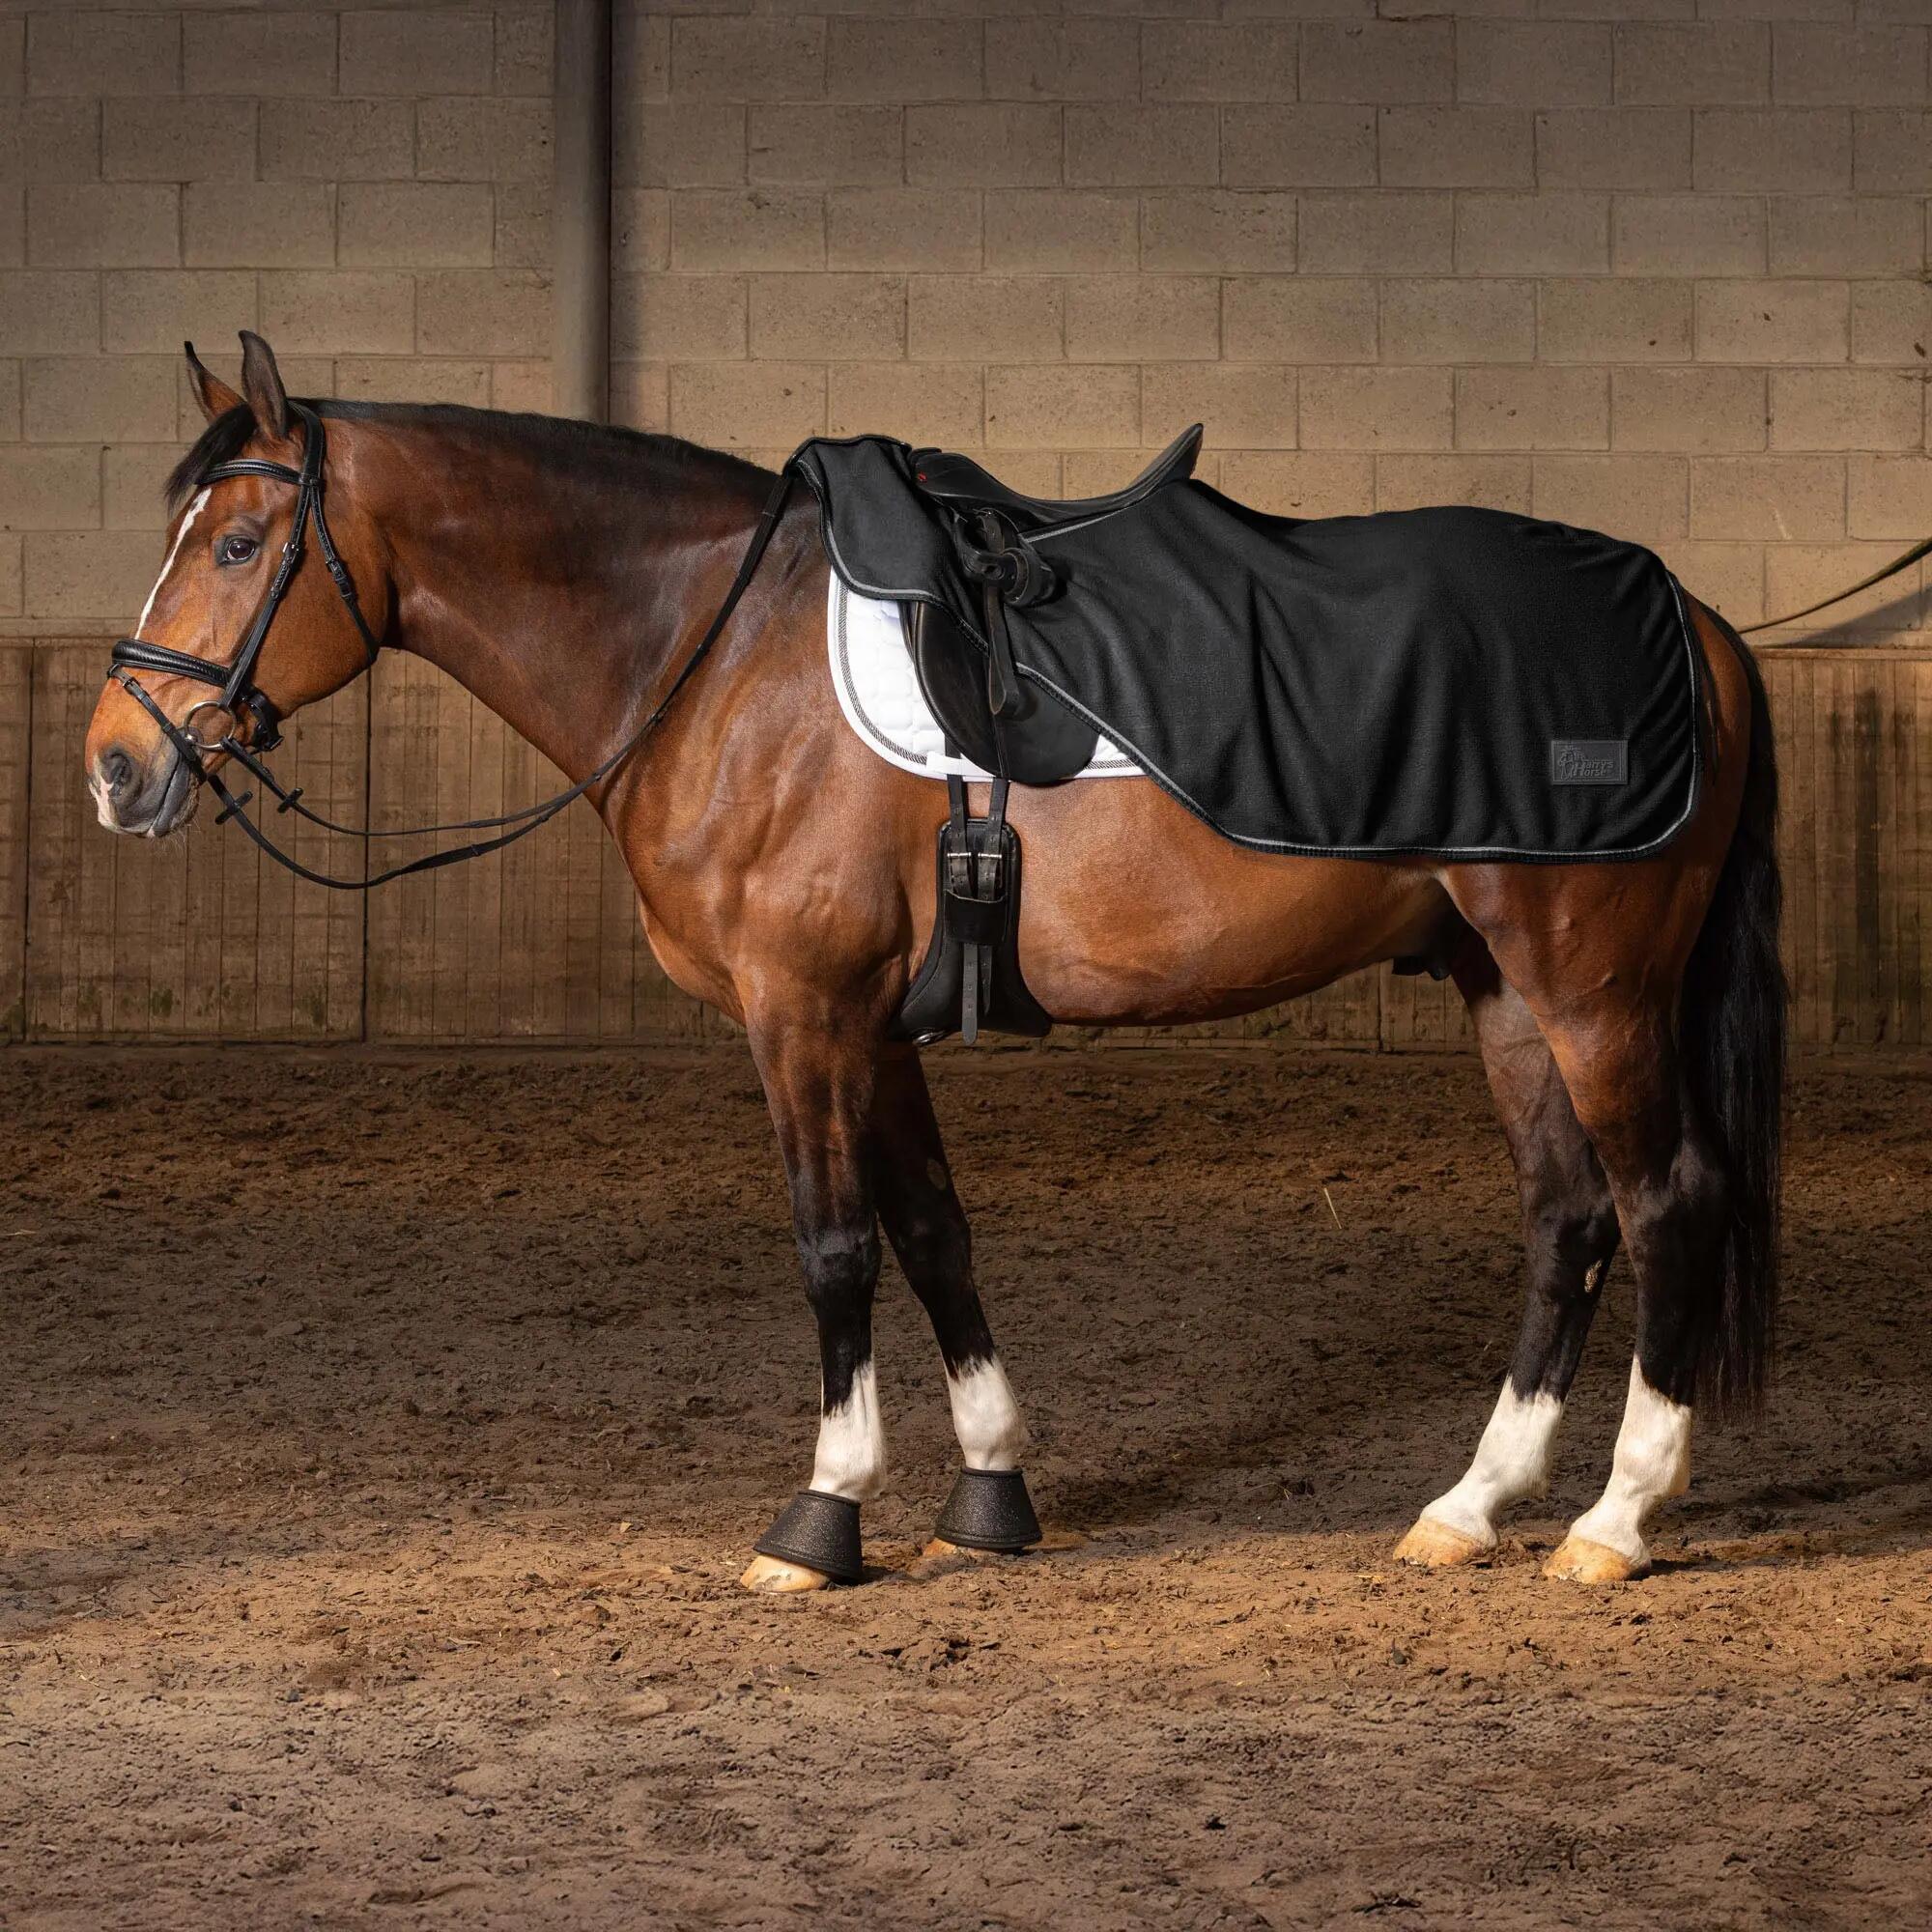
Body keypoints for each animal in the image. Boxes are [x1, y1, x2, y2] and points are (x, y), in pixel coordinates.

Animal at [85, 334, 1784, 1593]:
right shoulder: (873, 1024)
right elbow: (933, 1231)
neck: (717, 653)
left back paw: (1615, 1520)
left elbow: (834, 1246)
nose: (116, 765)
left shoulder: (798, 1012)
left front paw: (822, 1518)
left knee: (1664, 1200)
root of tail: (1693, 617)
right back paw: (1471, 1505)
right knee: (1567, 1219)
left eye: (239, 542)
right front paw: (990, 1494)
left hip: (1592, 990)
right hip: (1505, 991)